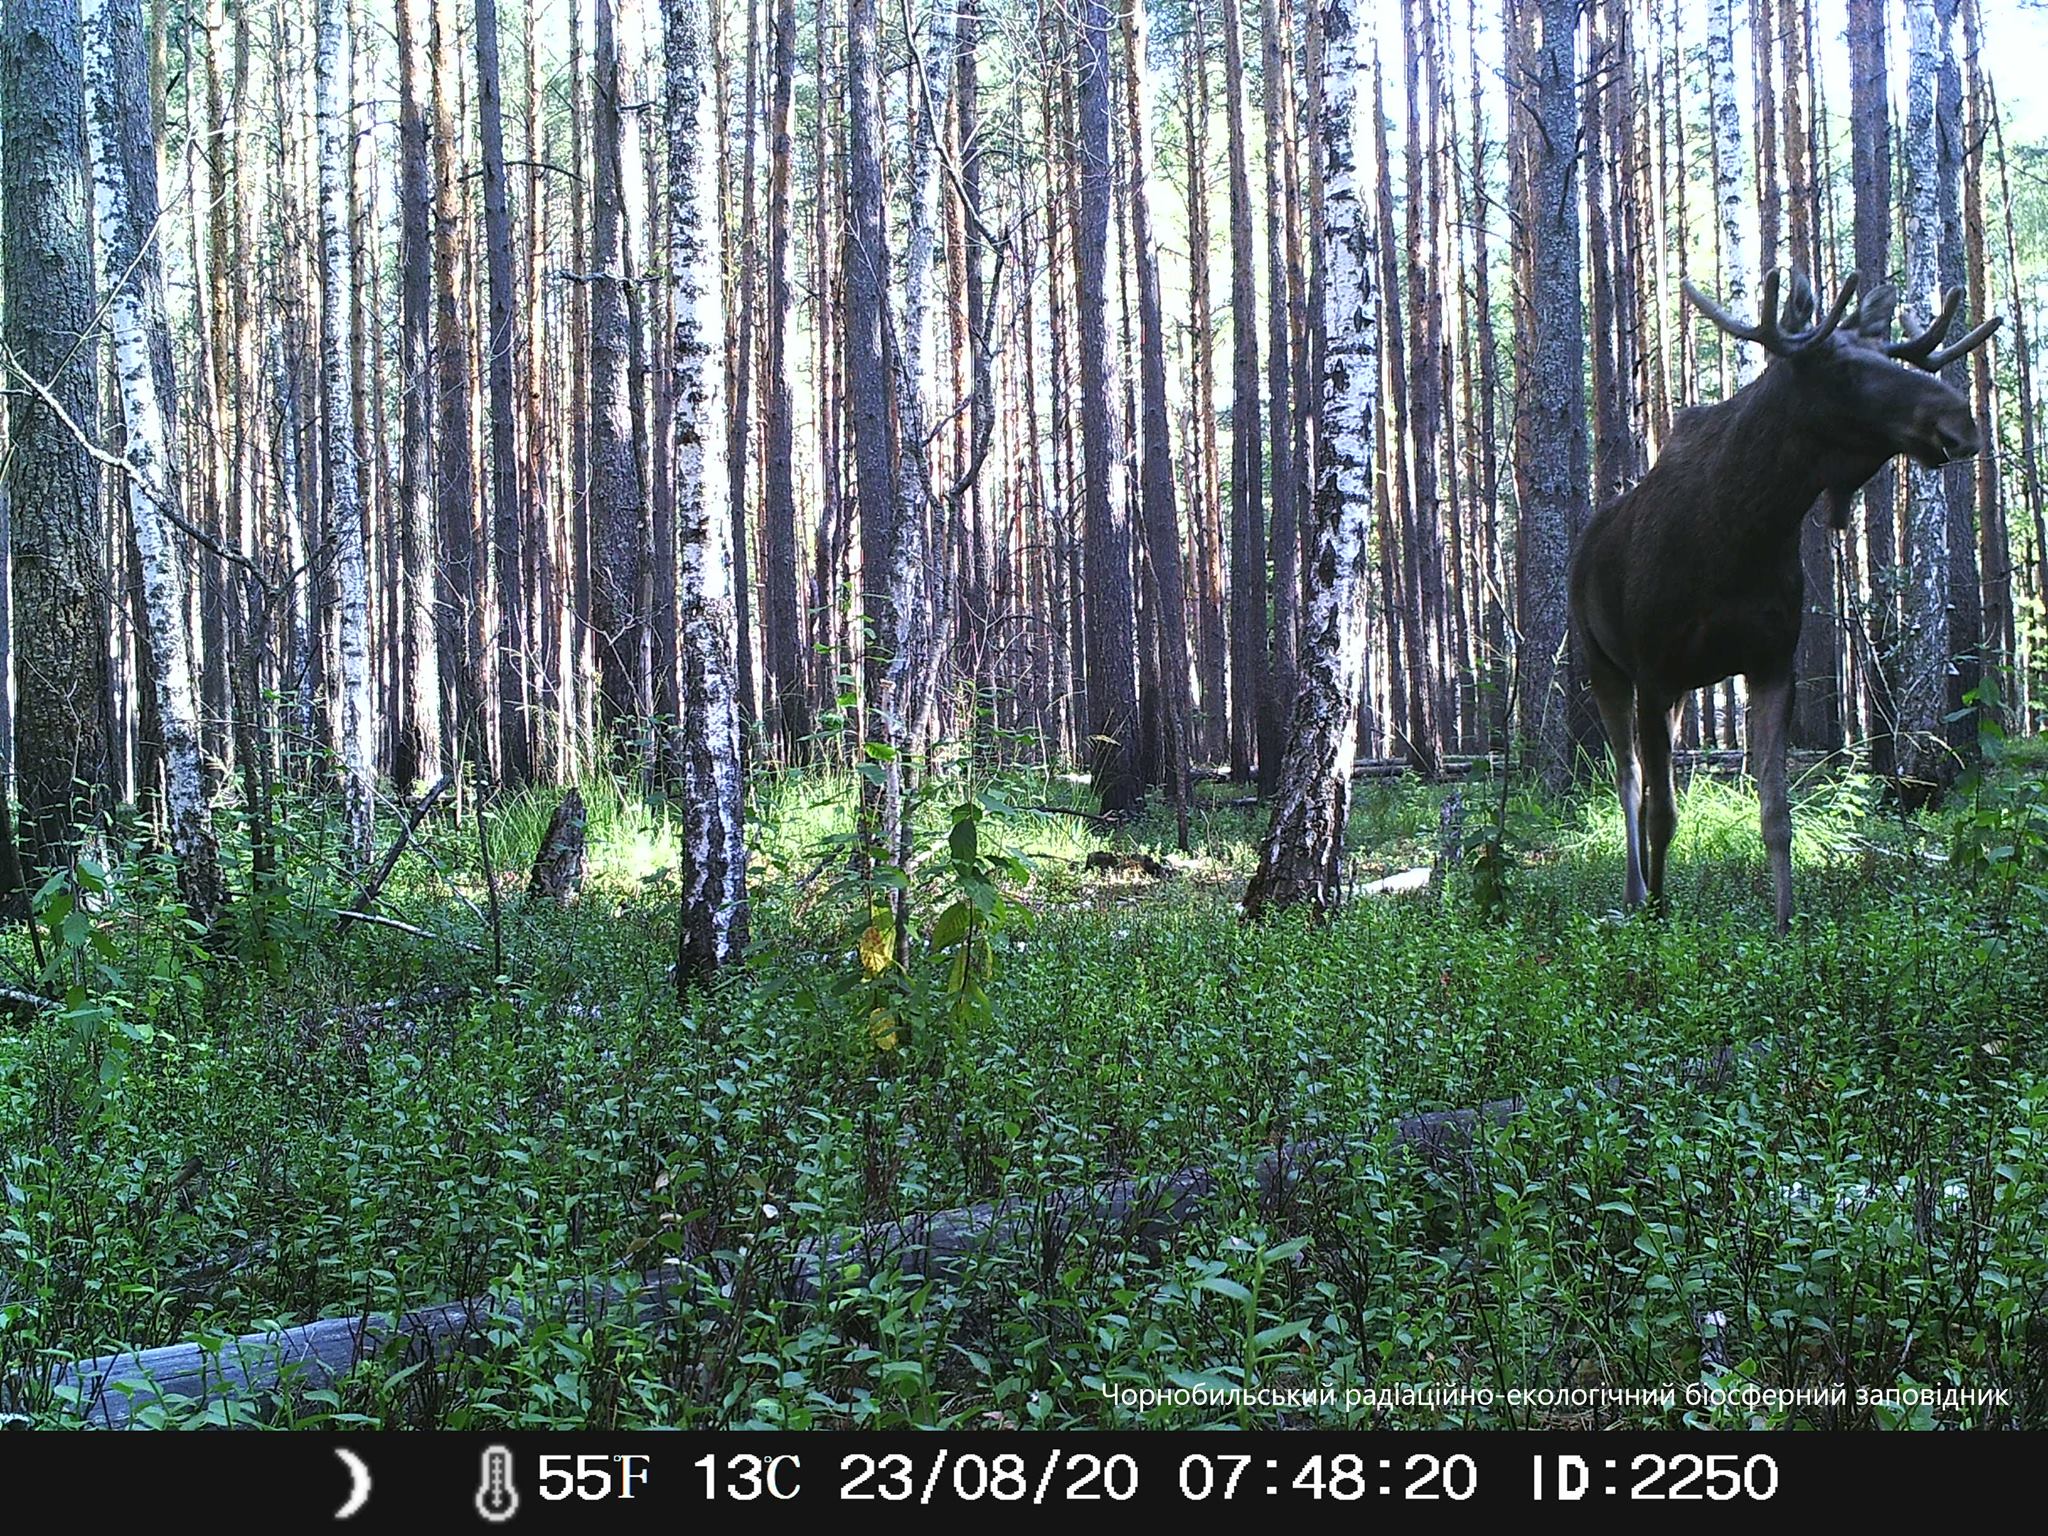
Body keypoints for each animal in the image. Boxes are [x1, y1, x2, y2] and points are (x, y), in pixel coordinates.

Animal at [1572, 270, 1990, 933]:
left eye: (1890, 355)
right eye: (1840, 369)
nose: (1960, 421)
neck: (1745, 529)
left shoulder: (1770, 662)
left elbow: (1777, 815)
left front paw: (1785, 925)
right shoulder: (1655, 668)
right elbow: (1663, 812)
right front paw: (1660, 917)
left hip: (1679, 692)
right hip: (1603, 662)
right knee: (1629, 778)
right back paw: (1636, 895)